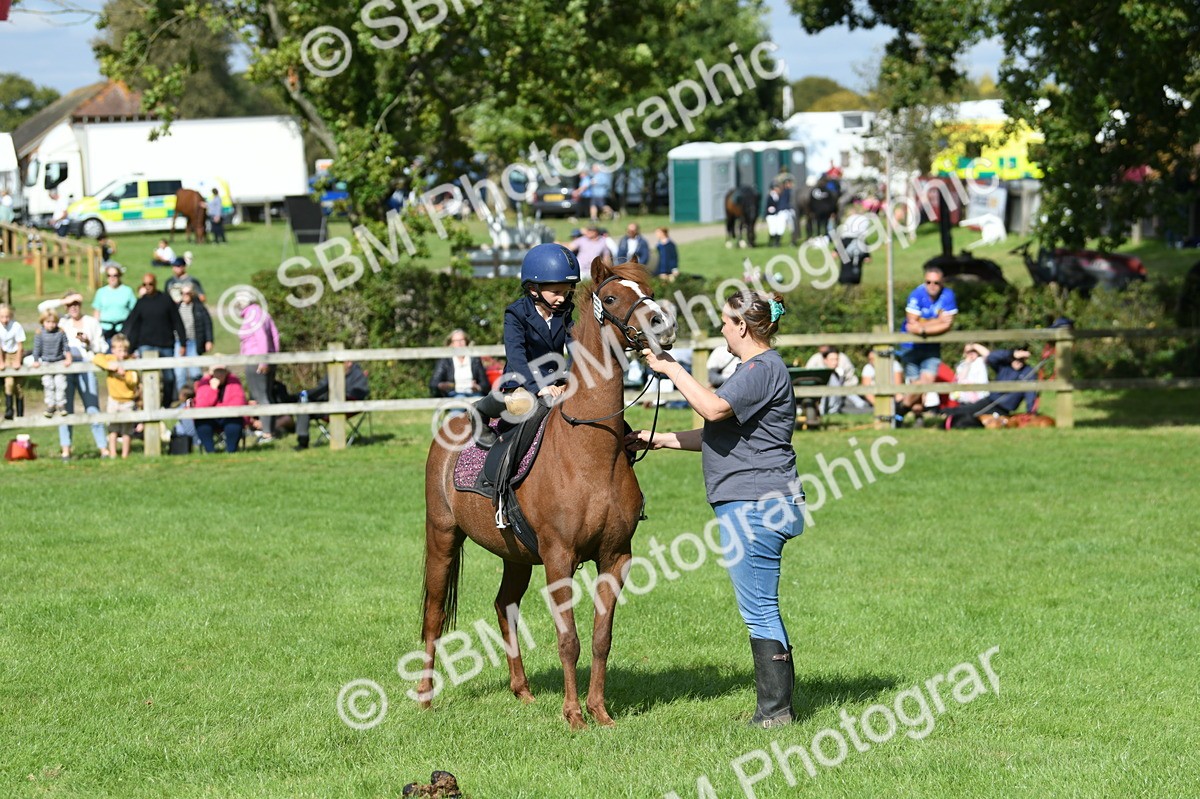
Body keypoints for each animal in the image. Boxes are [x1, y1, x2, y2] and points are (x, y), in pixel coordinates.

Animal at [420, 257, 677, 729]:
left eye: (647, 291)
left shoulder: (616, 557)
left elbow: (600, 638)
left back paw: (522, 691)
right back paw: (425, 698)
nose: (662, 324)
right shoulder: (559, 558)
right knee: (434, 614)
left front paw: (600, 712)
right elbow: (568, 640)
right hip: (442, 535)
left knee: (504, 606)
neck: (591, 453)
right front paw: (574, 716)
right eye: (612, 296)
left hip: (516, 555)